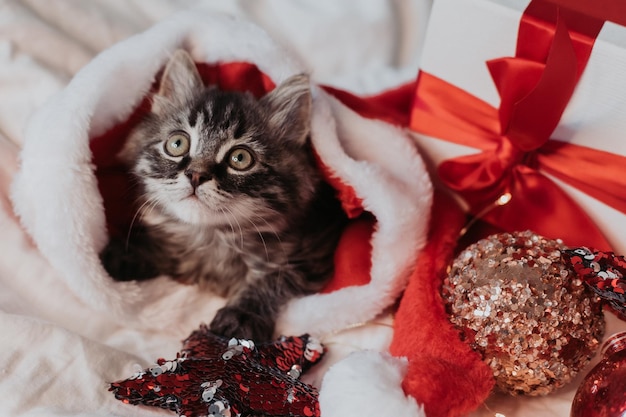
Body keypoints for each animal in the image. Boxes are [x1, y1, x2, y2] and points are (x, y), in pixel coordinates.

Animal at [102, 50, 346, 340]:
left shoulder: (312, 257)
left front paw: (241, 315)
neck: (213, 237)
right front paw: (130, 252)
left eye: (240, 158)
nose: (196, 175)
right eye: (177, 143)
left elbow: (275, 279)